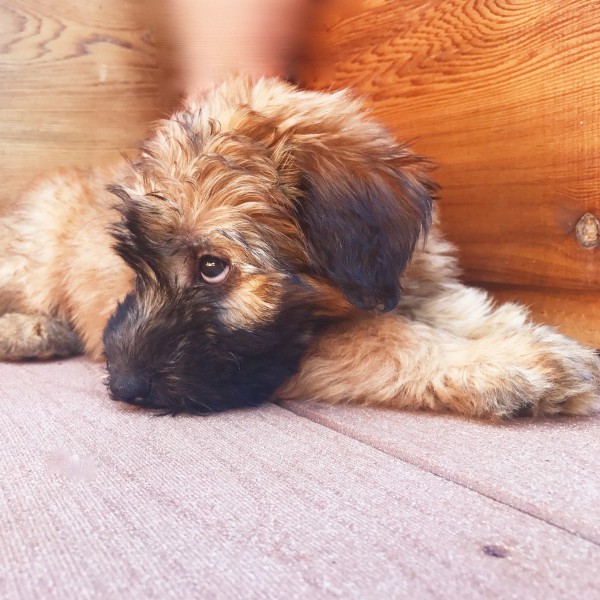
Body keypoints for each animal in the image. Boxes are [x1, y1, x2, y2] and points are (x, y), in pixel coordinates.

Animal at [1, 77, 600, 418]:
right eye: (135, 266)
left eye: (212, 267)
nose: (125, 387)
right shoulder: (301, 352)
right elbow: (381, 338)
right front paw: (509, 366)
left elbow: (464, 309)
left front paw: (539, 344)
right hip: (34, 256)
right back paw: (29, 331)